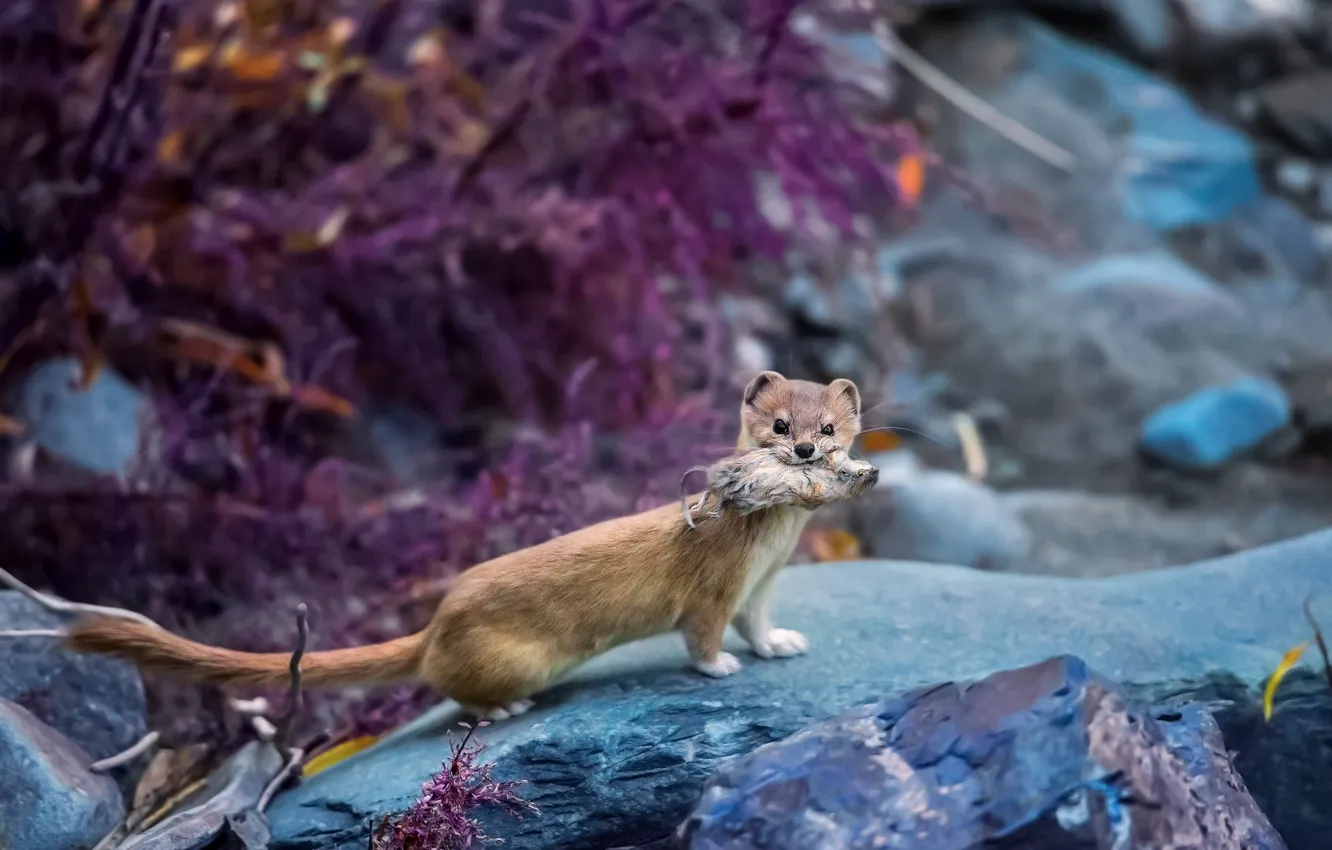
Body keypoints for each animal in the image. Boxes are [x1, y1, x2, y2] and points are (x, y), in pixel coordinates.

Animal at [70, 373, 863, 719]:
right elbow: (701, 635)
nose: (801, 450)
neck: (767, 551)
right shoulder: (713, 587)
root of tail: (436, 625)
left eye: (828, 429)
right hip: (514, 659)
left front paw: (781, 644)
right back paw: (502, 711)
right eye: (779, 424)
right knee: (449, 687)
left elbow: (760, 624)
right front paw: (720, 666)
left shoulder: (762, 584)